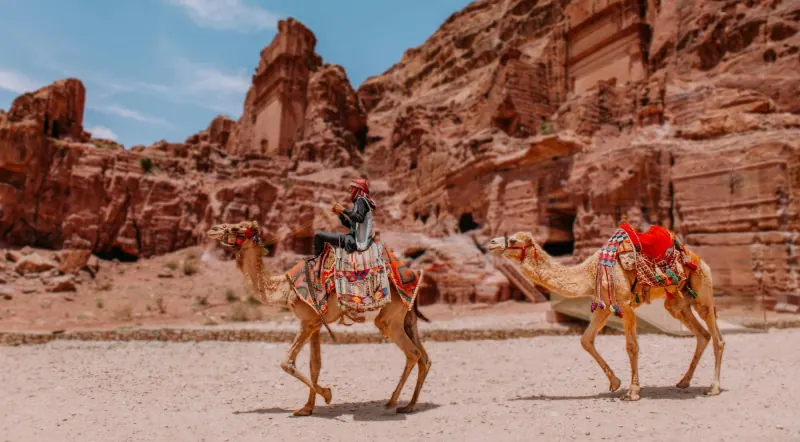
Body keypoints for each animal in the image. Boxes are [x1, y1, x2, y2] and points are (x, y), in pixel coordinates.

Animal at [206, 221, 432, 416]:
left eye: (236, 228)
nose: (212, 229)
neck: (285, 288)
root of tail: (412, 274)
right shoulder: (316, 324)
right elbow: (315, 365)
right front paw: (306, 408)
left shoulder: (306, 322)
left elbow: (287, 362)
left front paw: (327, 395)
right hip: (407, 313)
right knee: (424, 357)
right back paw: (409, 405)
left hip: (391, 314)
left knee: (411, 352)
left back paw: (392, 402)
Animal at [486, 230, 724, 401]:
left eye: (514, 239)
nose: (491, 242)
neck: (590, 272)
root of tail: (698, 258)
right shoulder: (604, 306)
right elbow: (586, 340)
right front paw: (615, 383)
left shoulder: (625, 305)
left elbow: (632, 347)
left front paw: (633, 392)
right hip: (676, 301)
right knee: (701, 334)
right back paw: (683, 382)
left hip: (702, 288)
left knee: (717, 338)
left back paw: (713, 388)